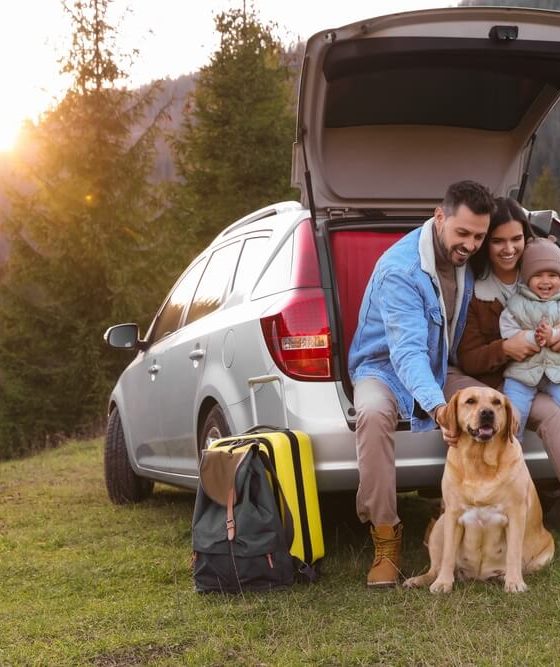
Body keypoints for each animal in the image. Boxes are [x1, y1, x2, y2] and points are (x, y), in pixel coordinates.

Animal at [404, 386, 552, 596]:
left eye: (497, 402)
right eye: (470, 401)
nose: (487, 413)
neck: (479, 462)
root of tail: (478, 577)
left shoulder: (516, 514)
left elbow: (514, 553)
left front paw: (514, 582)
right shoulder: (452, 514)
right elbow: (448, 555)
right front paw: (443, 583)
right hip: (440, 525)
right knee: (435, 568)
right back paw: (419, 580)